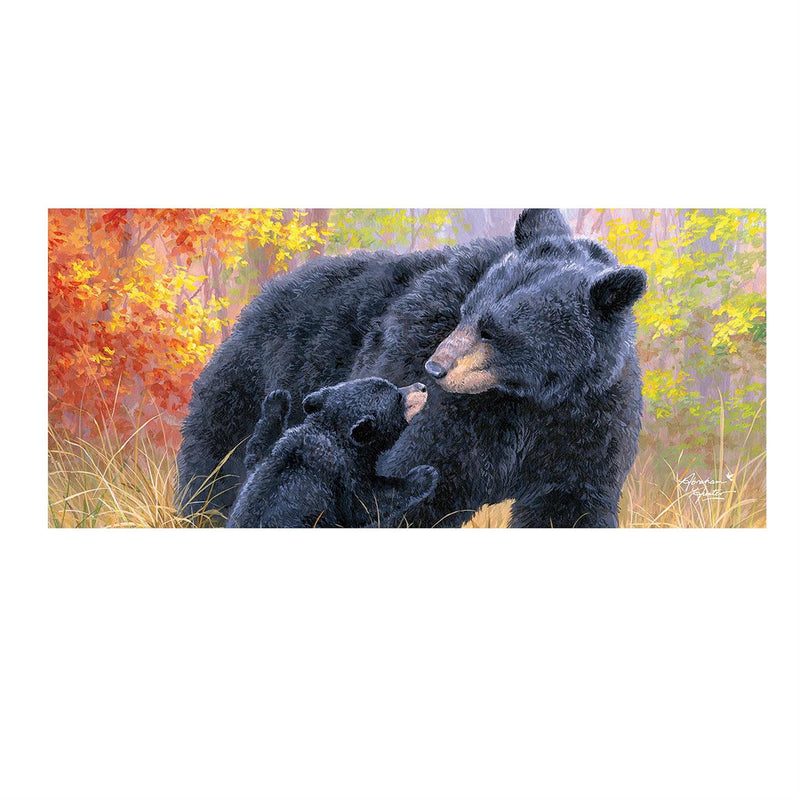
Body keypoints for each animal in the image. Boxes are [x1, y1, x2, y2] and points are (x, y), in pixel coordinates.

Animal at [225, 379, 439, 528]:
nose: (422, 386)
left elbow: (258, 450)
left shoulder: (275, 454)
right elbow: (364, 503)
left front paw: (277, 399)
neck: (330, 433)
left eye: (395, 387)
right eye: (398, 397)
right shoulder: (338, 475)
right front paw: (423, 475)